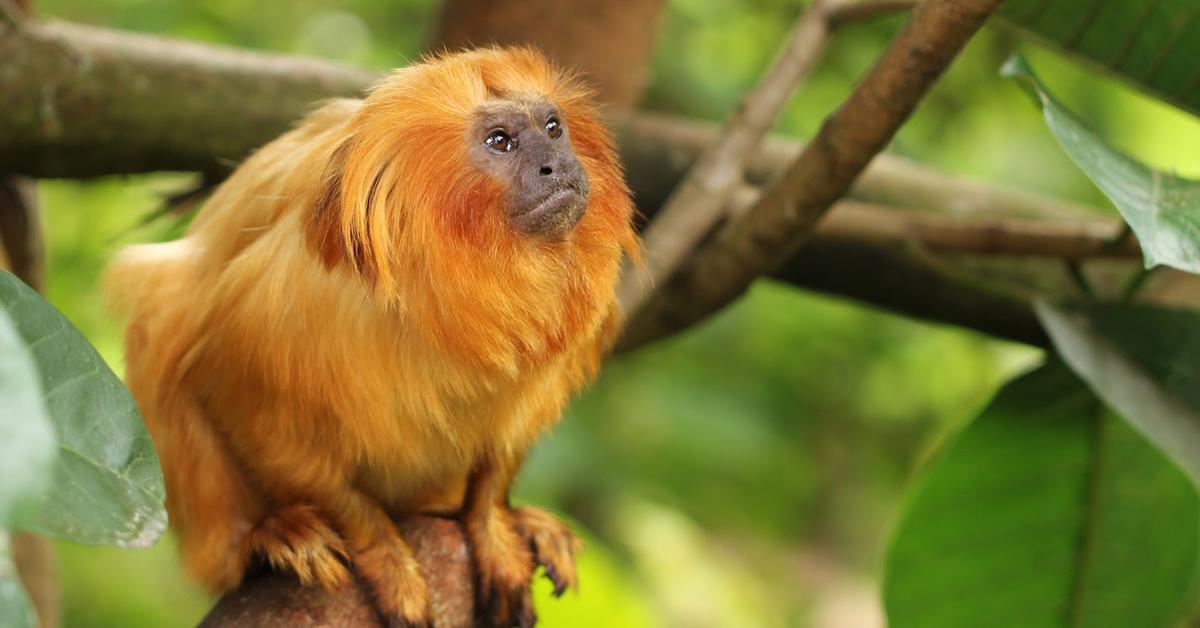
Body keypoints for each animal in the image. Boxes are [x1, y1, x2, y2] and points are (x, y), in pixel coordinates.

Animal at [105, 49, 638, 628]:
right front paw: (385, 557)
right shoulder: (290, 304)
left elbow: (504, 446)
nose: (557, 165)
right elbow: (256, 416)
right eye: (501, 141)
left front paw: (494, 526)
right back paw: (261, 540)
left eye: (552, 128)